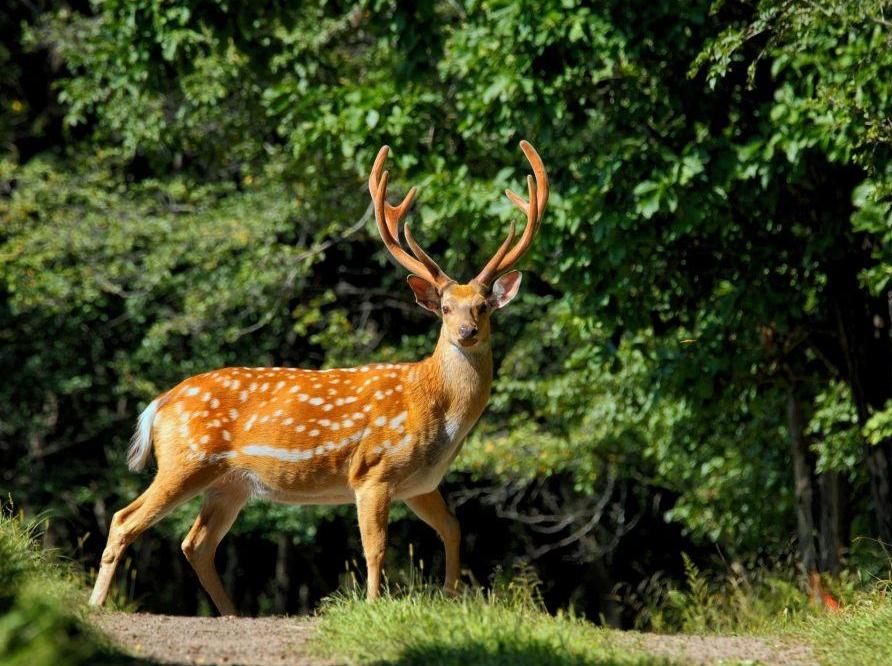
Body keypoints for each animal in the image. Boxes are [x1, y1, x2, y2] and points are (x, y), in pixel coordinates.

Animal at [88, 140, 548, 615]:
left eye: (483, 306)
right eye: (444, 308)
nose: (466, 332)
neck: (435, 408)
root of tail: (158, 404)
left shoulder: (421, 485)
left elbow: (452, 529)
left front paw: (452, 598)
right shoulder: (373, 471)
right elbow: (375, 547)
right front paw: (372, 606)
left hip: (229, 485)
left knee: (195, 543)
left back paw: (233, 614)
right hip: (186, 460)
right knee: (125, 519)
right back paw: (97, 604)